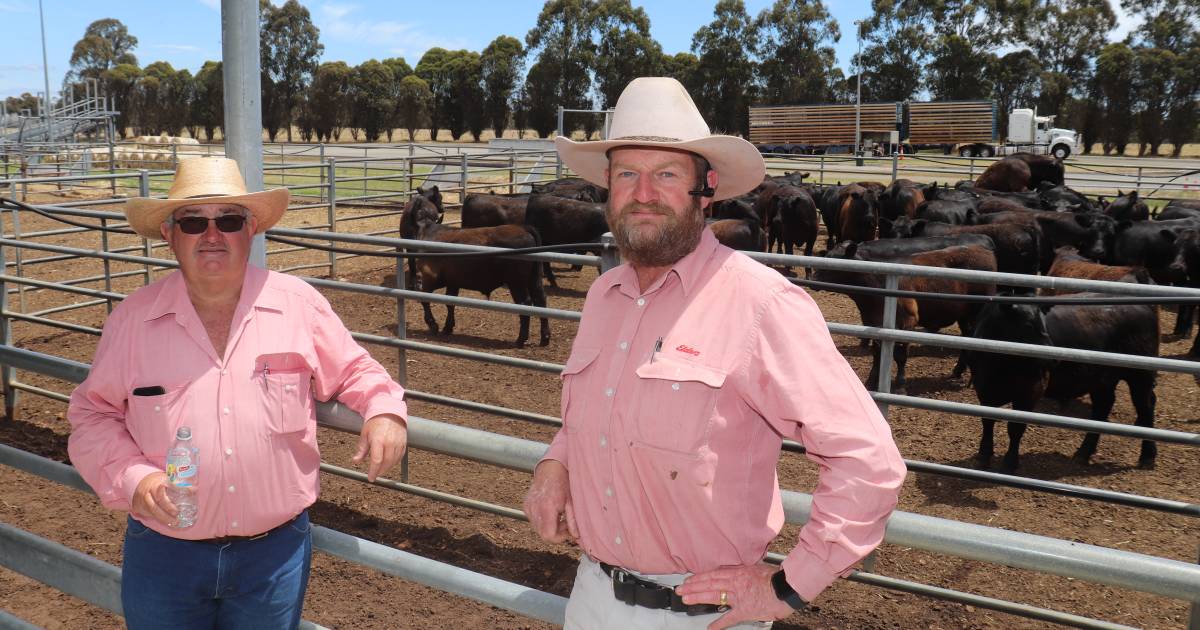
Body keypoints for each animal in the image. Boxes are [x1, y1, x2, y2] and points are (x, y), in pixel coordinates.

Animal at [403, 194, 552, 345]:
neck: (427, 232)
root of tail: (524, 229)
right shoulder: (453, 280)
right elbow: (450, 302)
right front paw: (448, 327)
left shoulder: (430, 277)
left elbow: (424, 299)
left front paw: (433, 324)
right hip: (534, 278)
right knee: (540, 299)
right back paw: (545, 337)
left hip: (516, 282)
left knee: (525, 303)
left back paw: (521, 339)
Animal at [969, 300, 1156, 470]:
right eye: (1028, 324)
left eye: (1045, 323)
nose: (1054, 357)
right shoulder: (984, 390)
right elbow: (987, 422)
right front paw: (984, 456)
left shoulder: (1030, 392)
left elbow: (1015, 428)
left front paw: (1010, 463)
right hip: (1102, 379)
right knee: (1103, 407)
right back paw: (1084, 453)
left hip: (1140, 377)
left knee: (1145, 406)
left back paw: (1148, 455)